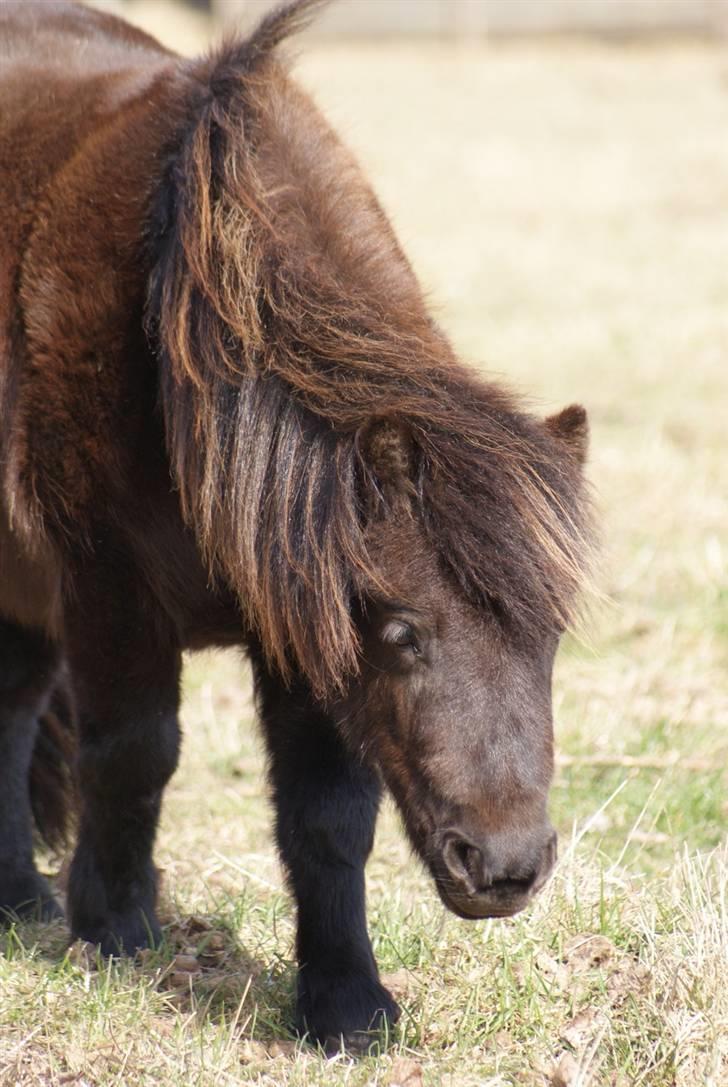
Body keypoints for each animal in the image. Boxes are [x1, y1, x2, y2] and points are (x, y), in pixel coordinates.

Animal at [0, 0, 591, 1052]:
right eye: (404, 633)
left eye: (553, 635)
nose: (505, 867)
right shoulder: (107, 584)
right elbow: (134, 752)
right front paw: (115, 930)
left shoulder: (304, 626)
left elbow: (328, 816)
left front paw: (347, 1001)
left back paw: (16, 895)